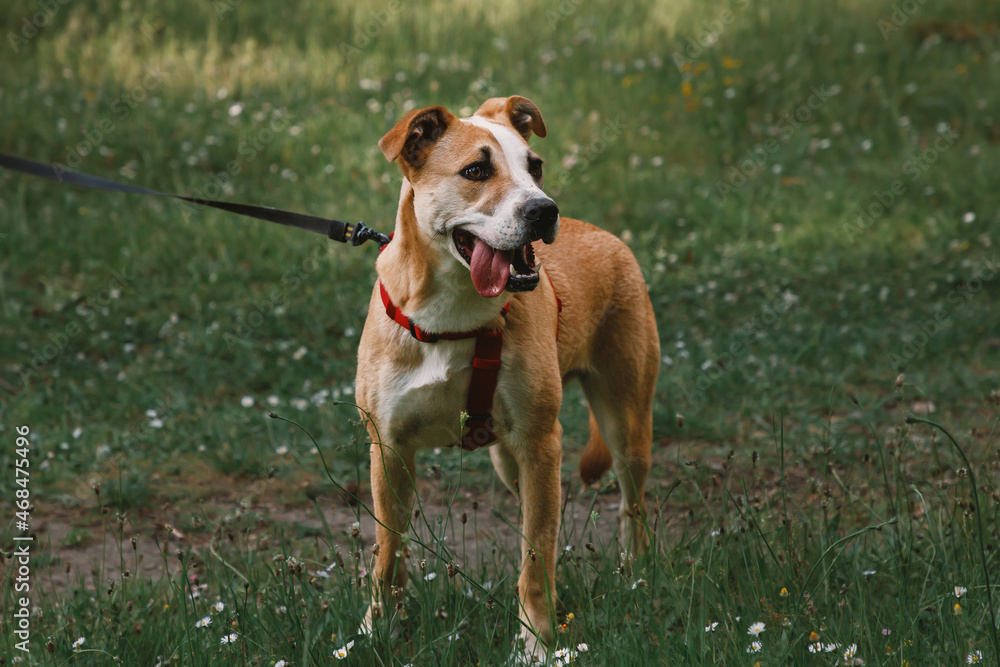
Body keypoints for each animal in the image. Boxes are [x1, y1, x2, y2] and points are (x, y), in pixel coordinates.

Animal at [356, 96, 660, 660]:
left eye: (534, 166)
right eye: (476, 171)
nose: (544, 210)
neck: (453, 314)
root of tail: (605, 234)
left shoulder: (540, 441)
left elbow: (536, 557)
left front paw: (535, 643)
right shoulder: (387, 446)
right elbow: (388, 552)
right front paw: (375, 630)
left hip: (625, 425)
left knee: (633, 507)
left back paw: (640, 573)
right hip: (507, 461)